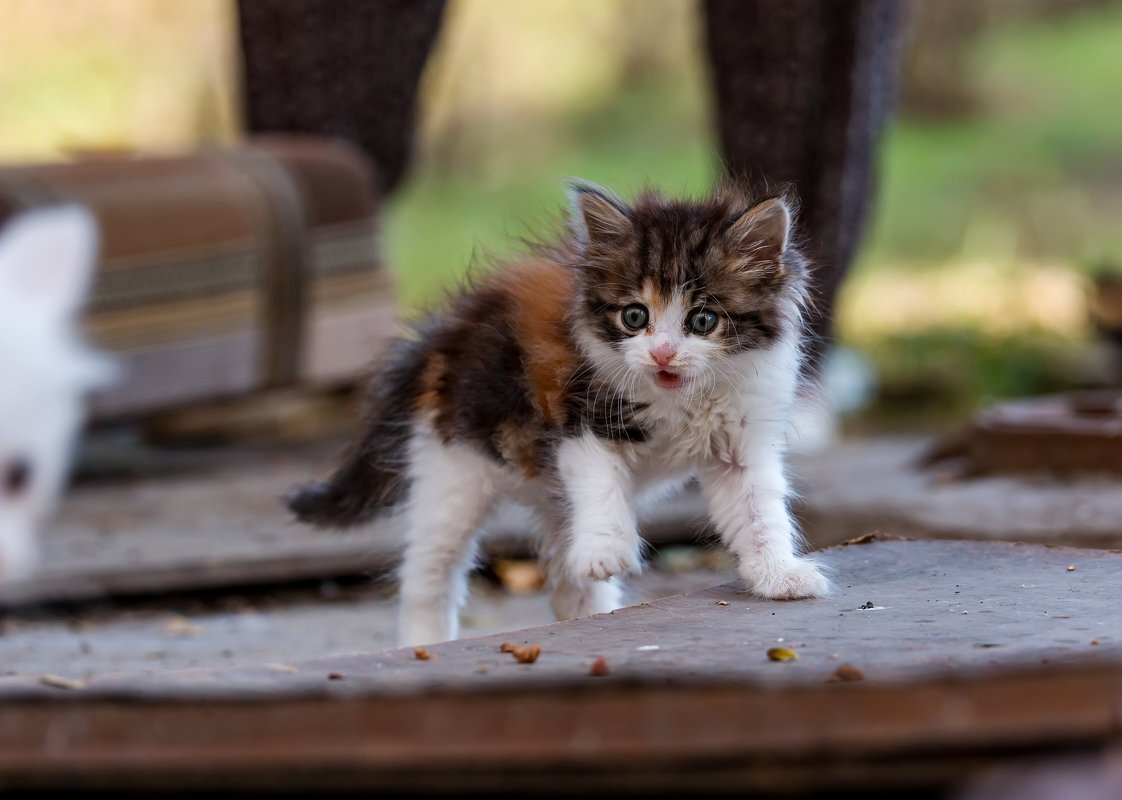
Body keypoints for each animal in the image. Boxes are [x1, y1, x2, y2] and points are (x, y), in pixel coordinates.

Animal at [289, 180, 834, 641]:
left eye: (703, 321)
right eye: (634, 316)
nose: (661, 354)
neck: (680, 400)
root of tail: (447, 331)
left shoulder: (741, 444)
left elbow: (759, 512)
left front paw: (779, 575)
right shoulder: (580, 421)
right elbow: (601, 483)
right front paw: (606, 551)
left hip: (546, 496)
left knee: (565, 573)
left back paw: (590, 609)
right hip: (454, 470)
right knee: (430, 572)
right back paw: (425, 643)